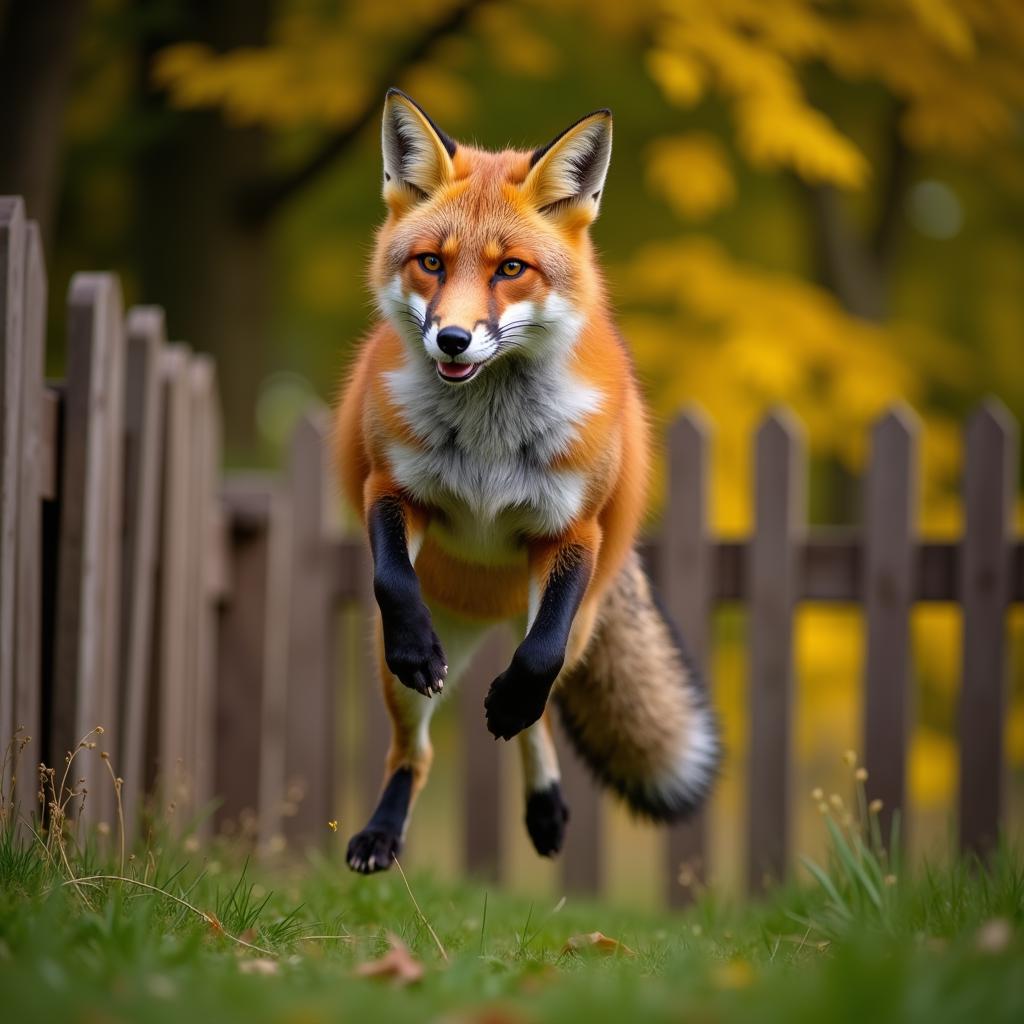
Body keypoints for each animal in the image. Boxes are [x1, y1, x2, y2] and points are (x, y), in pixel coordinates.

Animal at [331, 90, 716, 872]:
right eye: (430, 263)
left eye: (510, 269)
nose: (451, 338)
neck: (489, 444)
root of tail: (490, 611)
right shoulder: (391, 489)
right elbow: (391, 580)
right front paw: (416, 646)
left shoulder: (573, 529)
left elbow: (535, 665)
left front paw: (509, 707)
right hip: (398, 678)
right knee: (412, 754)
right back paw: (383, 832)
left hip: (579, 619)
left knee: (539, 710)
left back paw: (543, 802)